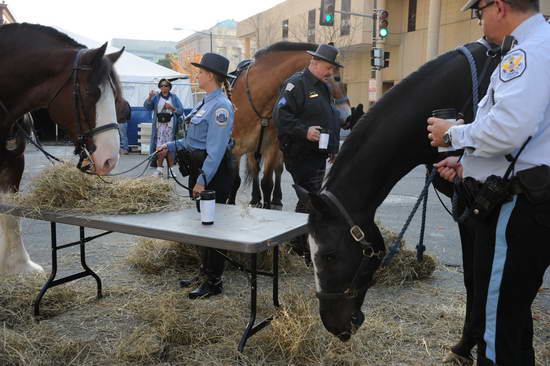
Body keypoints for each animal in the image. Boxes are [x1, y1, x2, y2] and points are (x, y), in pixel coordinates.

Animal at [0, 23, 130, 274]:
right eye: (91, 92)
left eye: (115, 95)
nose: (110, 159)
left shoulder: (13, 162)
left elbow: (11, 213)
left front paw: (18, 266)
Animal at [230, 41, 354, 209]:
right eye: (336, 77)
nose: (348, 116)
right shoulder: (235, 148)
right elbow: (234, 180)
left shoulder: (272, 147)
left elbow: (267, 182)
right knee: (254, 169)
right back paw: (255, 199)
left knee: (277, 170)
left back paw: (276, 199)